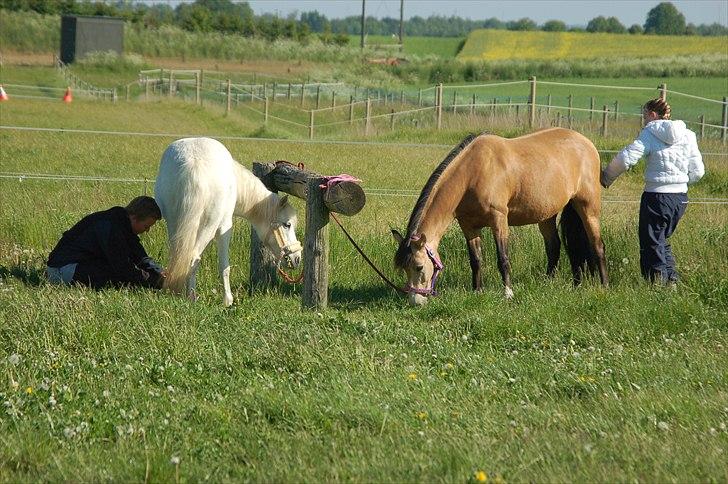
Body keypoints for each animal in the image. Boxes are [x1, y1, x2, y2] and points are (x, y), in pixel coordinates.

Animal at [154, 138, 302, 306]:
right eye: (287, 224)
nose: (297, 258)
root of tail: (193, 163)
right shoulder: (225, 228)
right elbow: (224, 267)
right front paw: (228, 300)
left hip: (174, 224)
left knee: (179, 256)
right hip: (208, 227)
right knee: (193, 257)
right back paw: (192, 297)